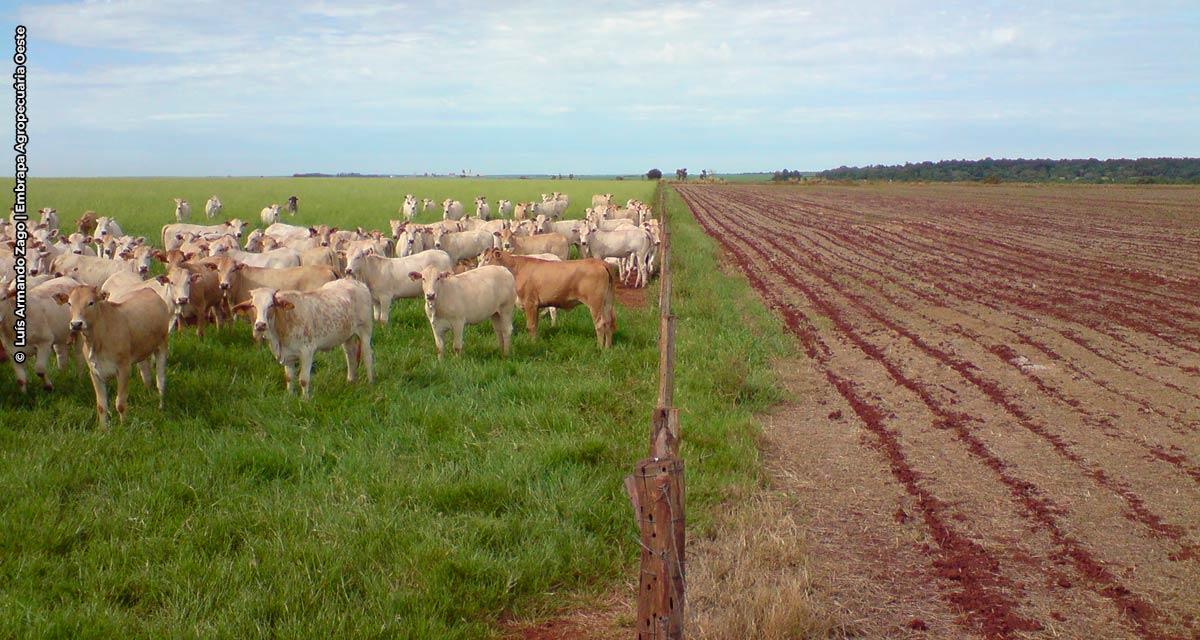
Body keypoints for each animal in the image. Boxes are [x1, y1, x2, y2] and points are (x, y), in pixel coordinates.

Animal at [229, 278, 369, 393]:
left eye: (271, 305)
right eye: (253, 306)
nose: (260, 325)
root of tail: (354, 282)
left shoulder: (307, 352)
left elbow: (304, 380)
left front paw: (305, 401)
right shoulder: (288, 356)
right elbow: (289, 378)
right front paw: (290, 397)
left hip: (365, 331)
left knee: (367, 357)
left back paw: (370, 383)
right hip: (347, 336)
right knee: (350, 356)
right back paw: (350, 381)